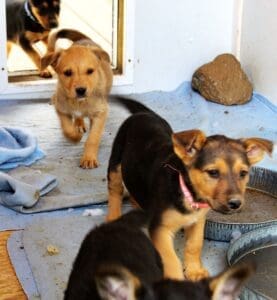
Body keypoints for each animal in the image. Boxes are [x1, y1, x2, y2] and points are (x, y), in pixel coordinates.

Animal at [41, 28, 112, 169]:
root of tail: (84, 40)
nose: (81, 90)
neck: (79, 103)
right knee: (78, 117)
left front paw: (89, 158)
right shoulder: (61, 109)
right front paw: (75, 137)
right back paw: (78, 124)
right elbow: (67, 128)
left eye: (90, 71)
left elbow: (93, 138)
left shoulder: (100, 113)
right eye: (68, 73)